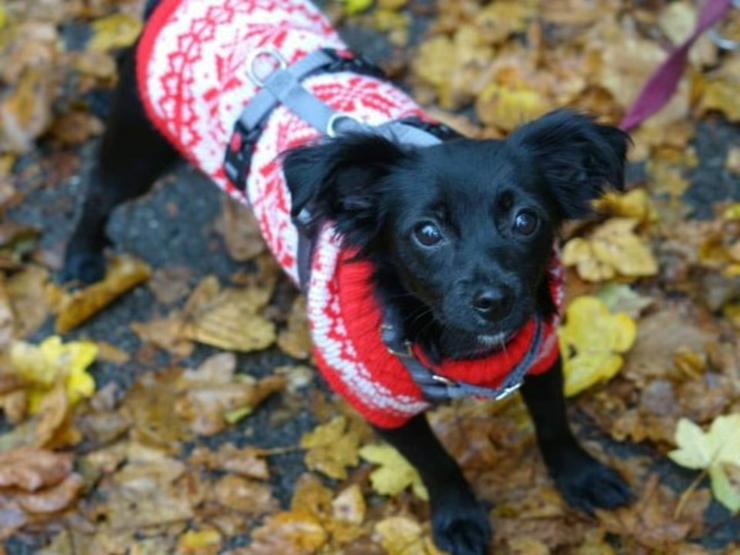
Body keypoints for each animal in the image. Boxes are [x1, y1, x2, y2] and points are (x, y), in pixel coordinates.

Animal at [62, 5, 632, 555]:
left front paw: (580, 477)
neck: (456, 352)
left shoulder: (540, 357)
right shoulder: (378, 407)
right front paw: (459, 517)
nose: (493, 300)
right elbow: (438, 465)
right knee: (96, 196)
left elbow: (554, 424)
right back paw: (80, 261)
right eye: (427, 233)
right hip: (135, 150)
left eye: (525, 221)